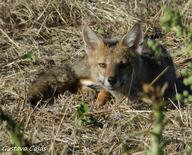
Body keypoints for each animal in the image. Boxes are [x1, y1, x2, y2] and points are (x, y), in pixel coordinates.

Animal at [27, 23, 177, 106]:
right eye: (103, 65)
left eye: (123, 65)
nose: (111, 80)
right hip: (92, 78)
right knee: (76, 81)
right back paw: (91, 93)